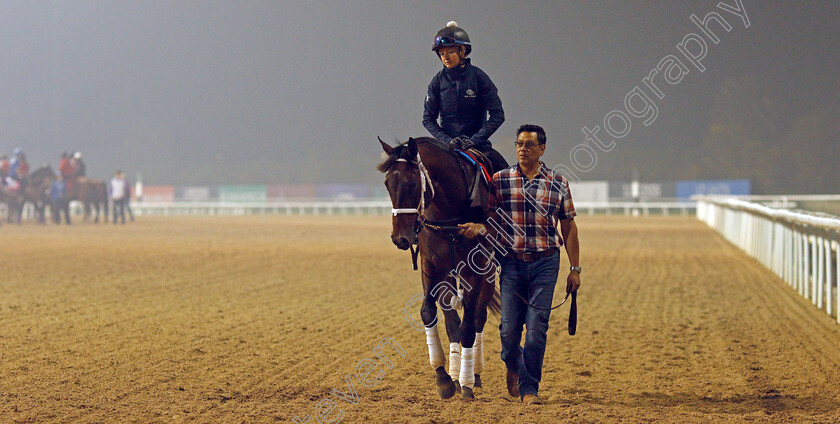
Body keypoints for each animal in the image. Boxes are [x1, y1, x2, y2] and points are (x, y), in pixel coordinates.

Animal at [378, 137, 502, 400]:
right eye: (387, 183)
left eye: (413, 182)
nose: (400, 238)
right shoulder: (432, 265)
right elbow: (433, 314)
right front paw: (445, 377)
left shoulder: (476, 270)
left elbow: (468, 324)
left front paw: (466, 382)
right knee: (453, 319)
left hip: (488, 273)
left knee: (478, 317)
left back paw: (474, 372)